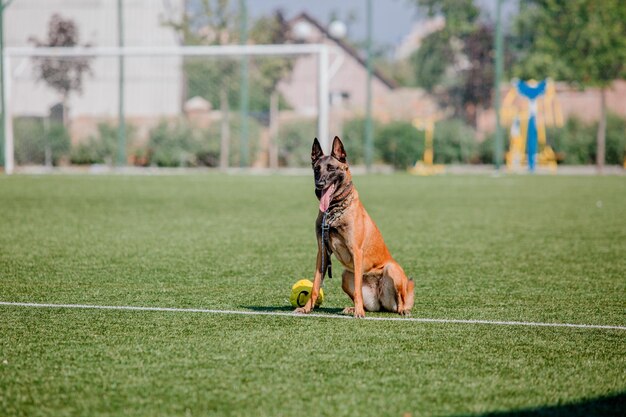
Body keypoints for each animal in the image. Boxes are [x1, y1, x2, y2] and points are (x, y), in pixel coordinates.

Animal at [294, 135, 412, 316]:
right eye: (316, 169)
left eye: (331, 168)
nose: (319, 184)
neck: (334, 211)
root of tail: (380, 300)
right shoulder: (322, 253)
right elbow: (315, 286)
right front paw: (307, 308)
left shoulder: (356, 252)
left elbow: (357, 289)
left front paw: (359, 313)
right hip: (345, 275)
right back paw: (354, 308)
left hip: (391, 269)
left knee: (401, 299)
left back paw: (402, 310)